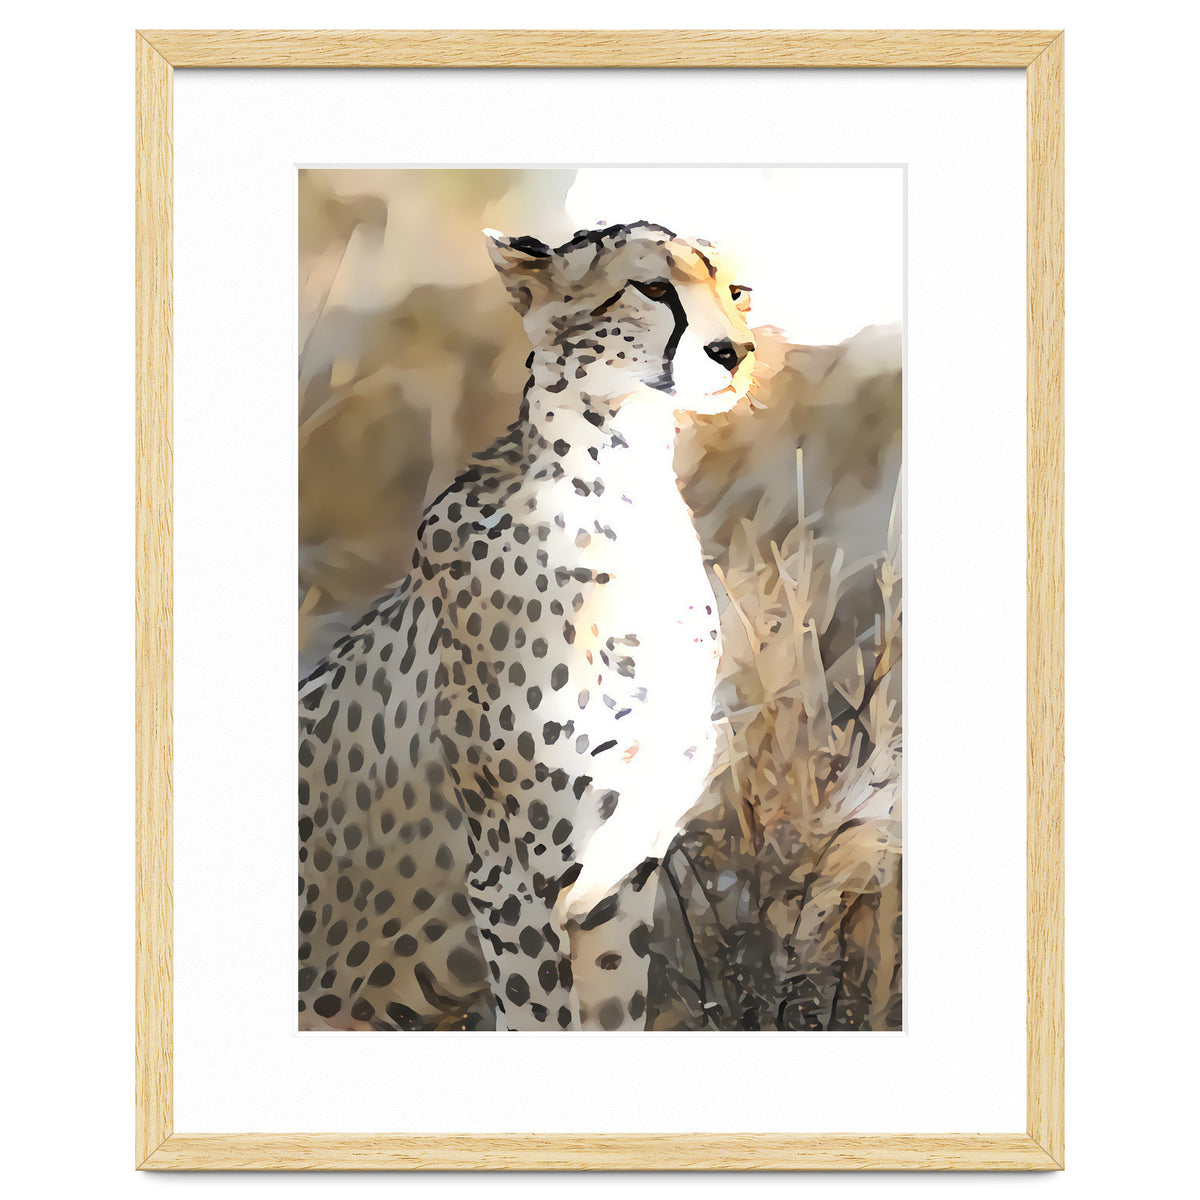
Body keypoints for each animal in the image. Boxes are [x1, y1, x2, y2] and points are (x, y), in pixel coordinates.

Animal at [298, 221, 757, 1031]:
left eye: (737, 292)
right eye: (653, 287)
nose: (736, 351)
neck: (625, 491)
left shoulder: (618, 886)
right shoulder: (510, 886)